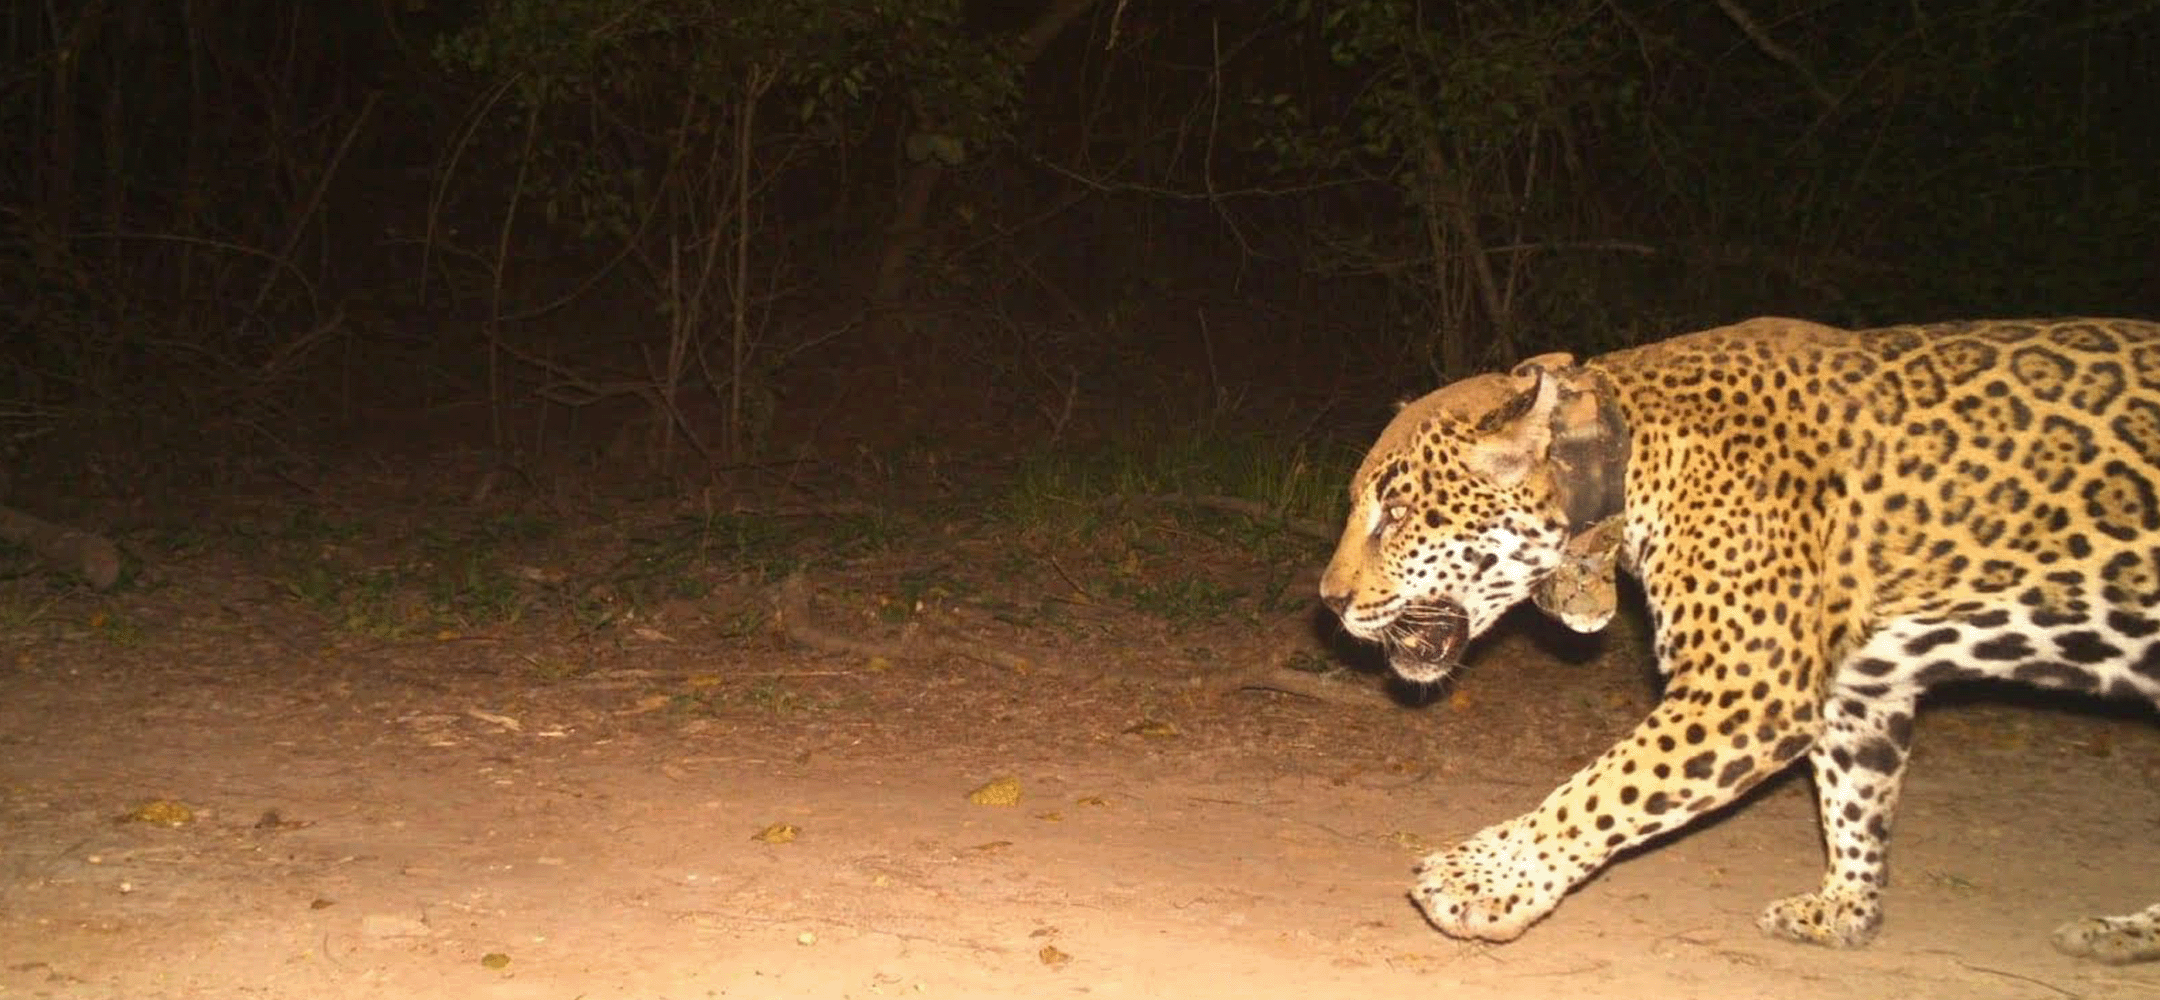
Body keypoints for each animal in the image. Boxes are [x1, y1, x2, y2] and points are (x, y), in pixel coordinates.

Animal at [1320, 316, 2160, 962]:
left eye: (1397, 512)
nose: (1328, 601)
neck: (1628, 462)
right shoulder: (1861, 689)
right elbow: (1856, 801)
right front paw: (1845, 914)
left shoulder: (1747, 685)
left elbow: (1603, 787)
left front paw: (1482, 879)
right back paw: (2121, 933)